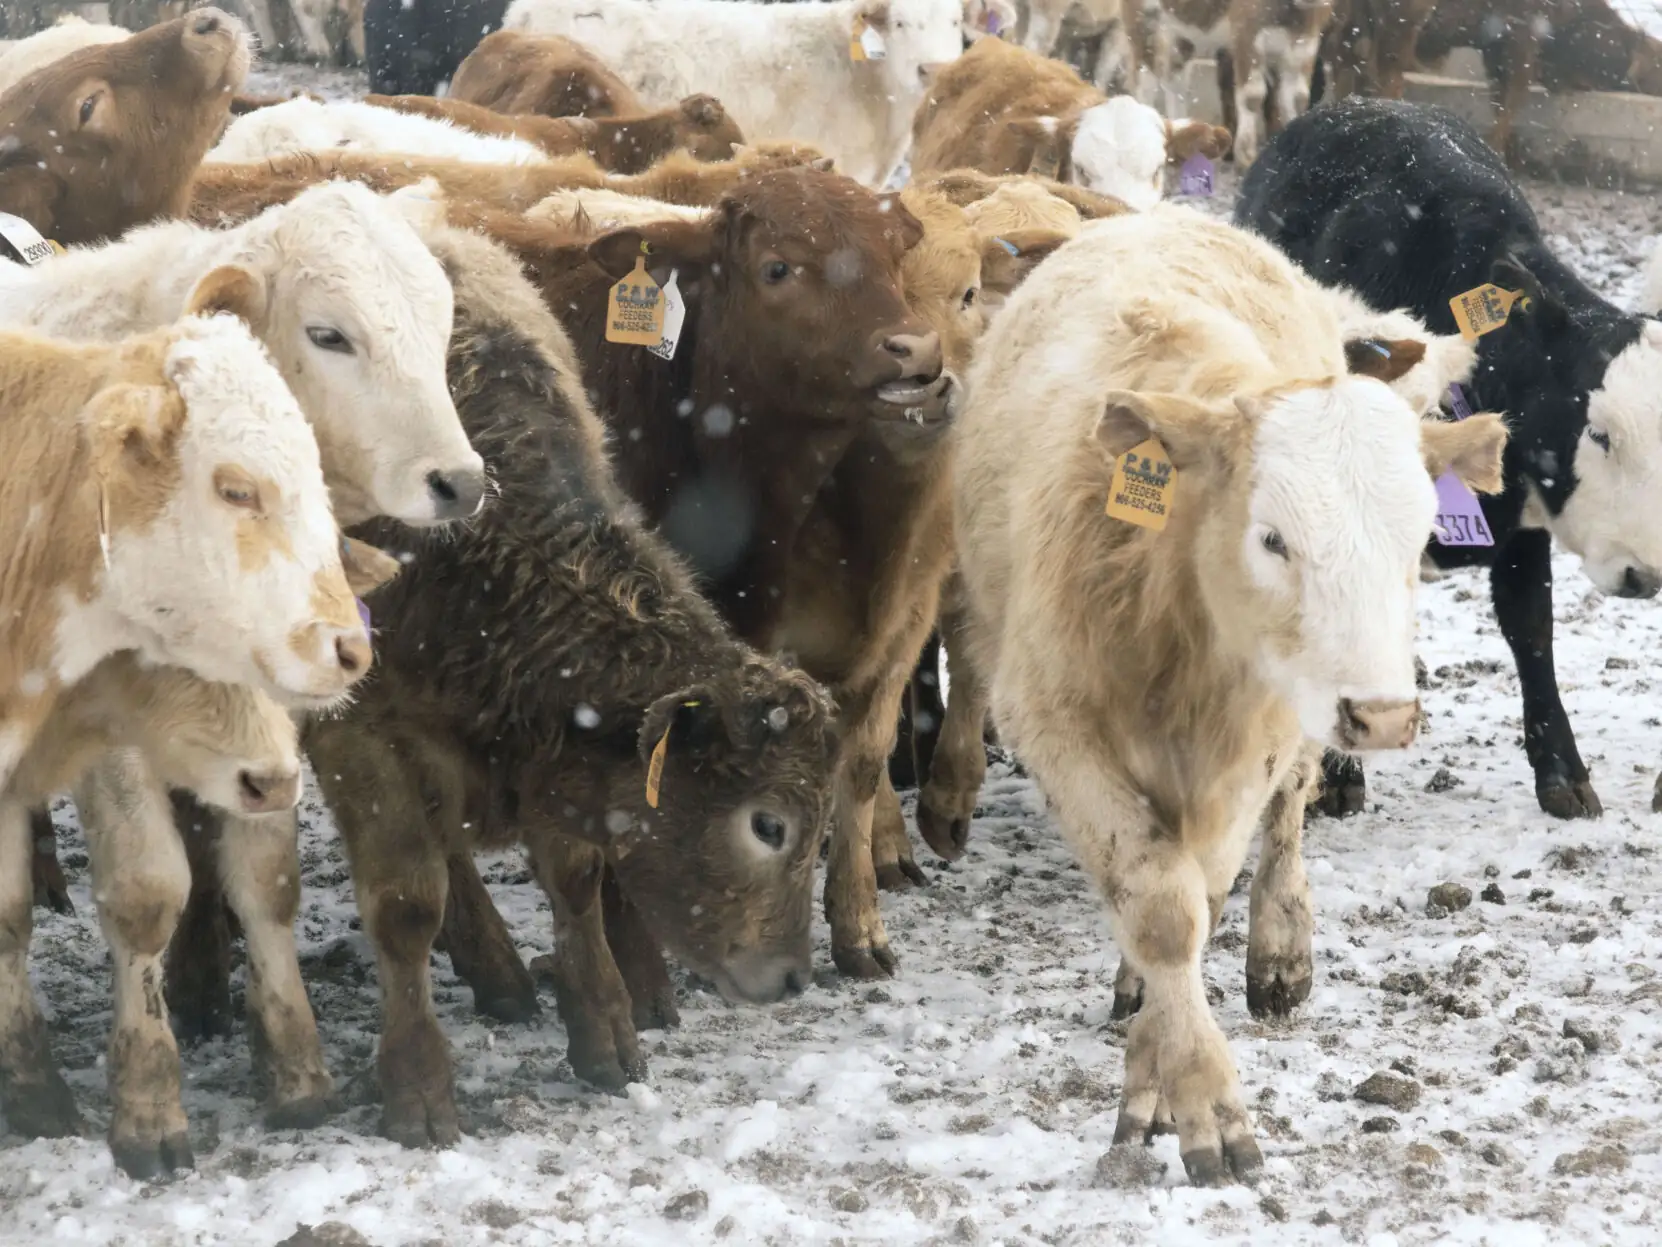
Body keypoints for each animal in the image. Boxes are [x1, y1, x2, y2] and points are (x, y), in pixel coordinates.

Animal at [952, 203, 1506, 1185]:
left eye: (1417, 539)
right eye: (1274, 537)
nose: (1384, 714)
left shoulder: (1254, 739)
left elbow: (1197, 899)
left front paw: (1159, 1080)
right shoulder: (1052, 722)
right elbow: (1161, 909)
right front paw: (1203, 1100)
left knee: (1283, 822)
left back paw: (1277, 948)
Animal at [1238, 97, 1662, 822]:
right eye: (1600, 435)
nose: (1648, 572)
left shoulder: (1518, 519)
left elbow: (1530, 626)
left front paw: (1563, 772)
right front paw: (1339, 772)